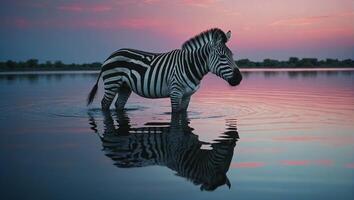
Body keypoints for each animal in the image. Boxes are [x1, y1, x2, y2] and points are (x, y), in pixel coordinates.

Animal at [87, 28, 242, 112]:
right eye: (222, 56)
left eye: (232, 55)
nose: (239, 78)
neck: (190, 65)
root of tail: (111, 55)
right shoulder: (175, 93)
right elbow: (175, 116)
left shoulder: (187, 96)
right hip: (112, 83)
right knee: (104, 104)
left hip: (125, 86)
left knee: (119, 105)